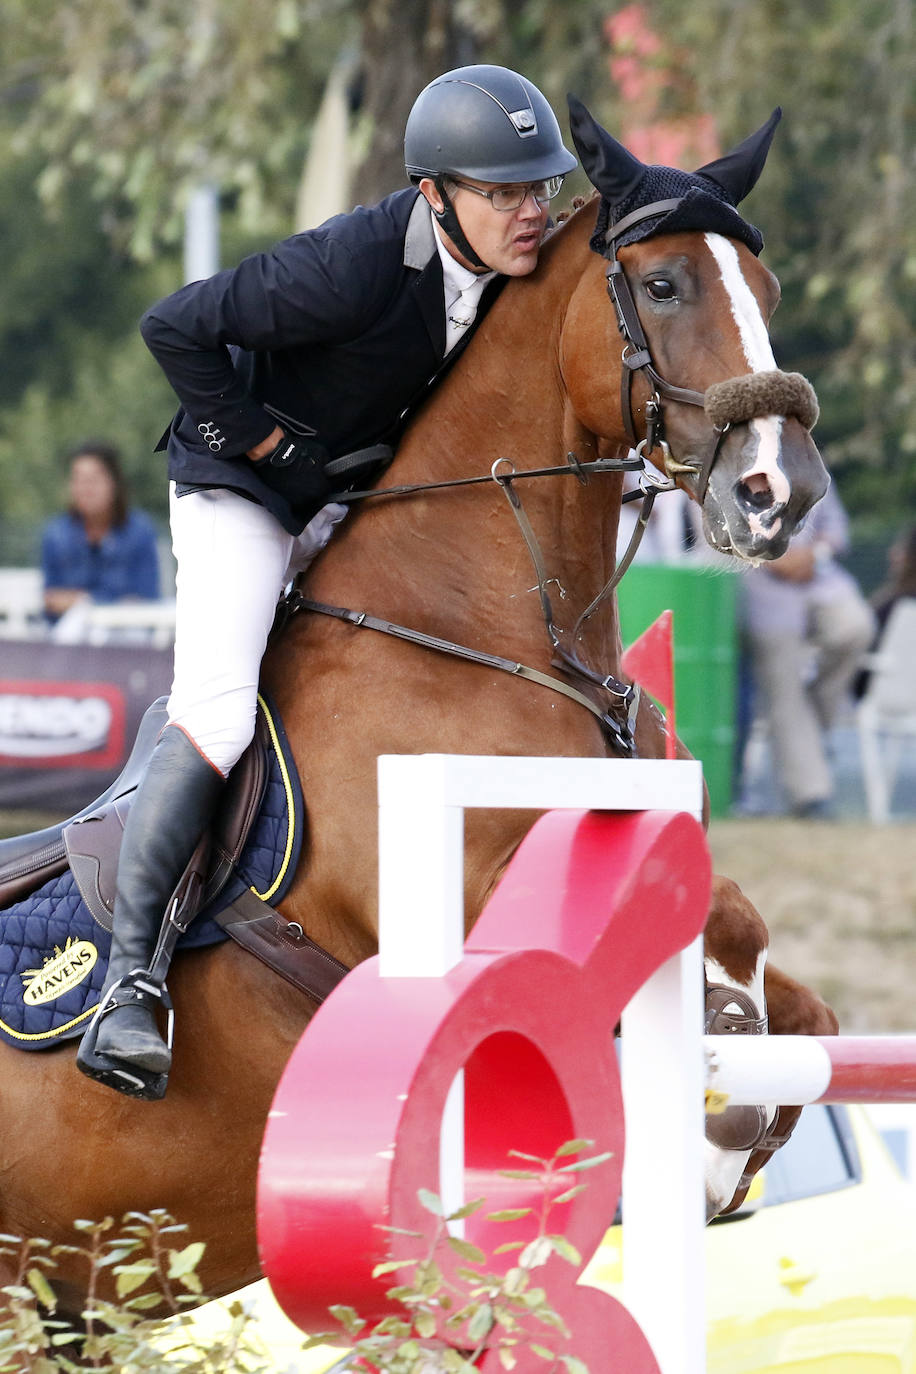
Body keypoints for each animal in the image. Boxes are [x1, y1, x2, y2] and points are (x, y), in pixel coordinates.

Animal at [1, 107, 840, 1319]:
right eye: (666, 284)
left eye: (766, 289)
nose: (785, 491)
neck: (490, 632)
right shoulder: (459, 895)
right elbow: (708, 928)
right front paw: (713, 1086)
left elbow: (795, 997)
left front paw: (734, 1120)